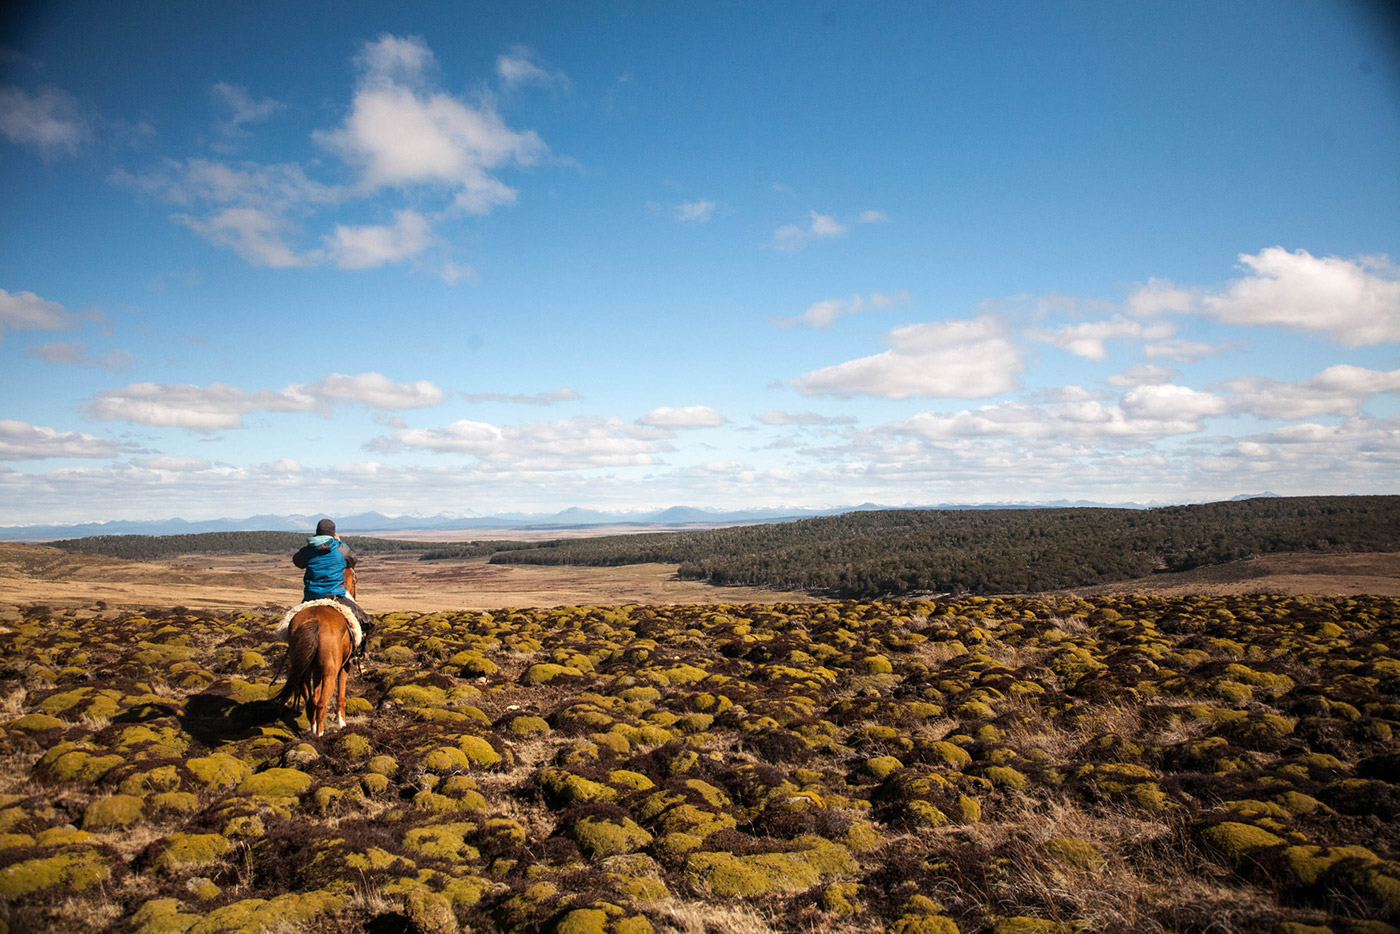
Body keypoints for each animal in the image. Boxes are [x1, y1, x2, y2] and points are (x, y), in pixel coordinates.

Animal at [275, 562, 358, 739]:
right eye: (355, 580)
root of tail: (315, 620)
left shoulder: (315, 671)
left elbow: (316, 693)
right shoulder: (345, 666)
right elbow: (341, 697)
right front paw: (342, 724)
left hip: (304, 671)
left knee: (310, 701)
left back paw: (313, 730)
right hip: (330, 673)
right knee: (321, 704)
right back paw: (320, 735)